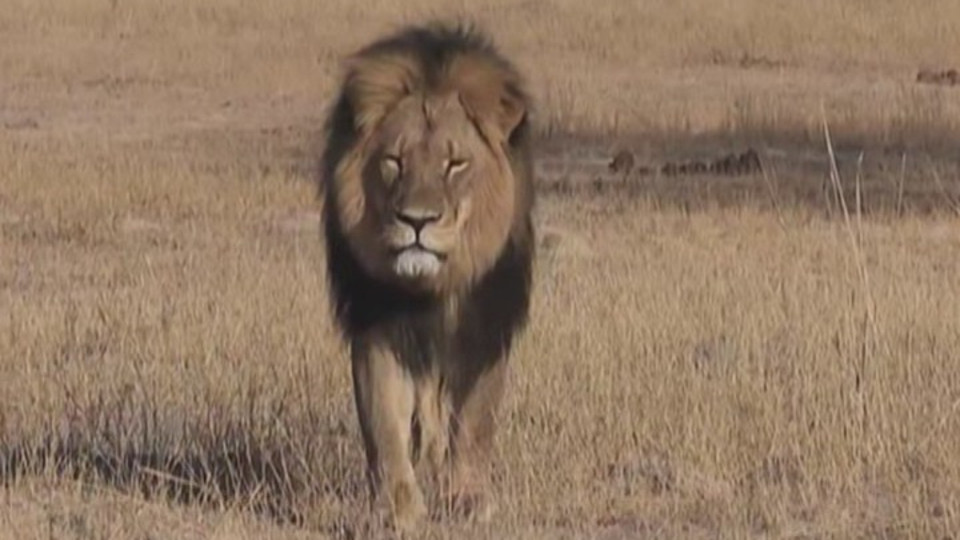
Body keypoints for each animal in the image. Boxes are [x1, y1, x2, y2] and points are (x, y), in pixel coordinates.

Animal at [316, 21, 535, 531]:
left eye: (455, 164)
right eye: (394, 160)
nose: (417, 221)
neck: (433, 288)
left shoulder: (486, 325)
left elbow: (474, 422)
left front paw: (467, 499)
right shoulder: (377, 327)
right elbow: (385, 426)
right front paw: (399, 509)